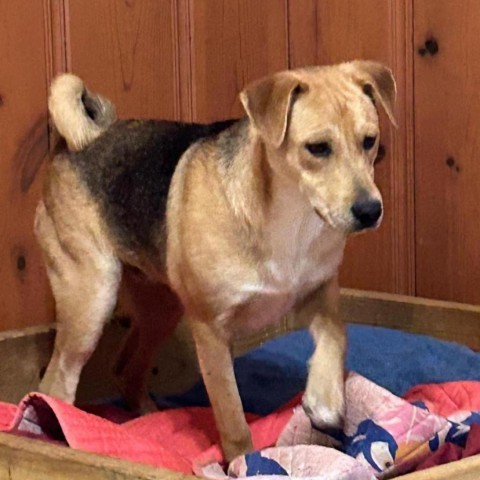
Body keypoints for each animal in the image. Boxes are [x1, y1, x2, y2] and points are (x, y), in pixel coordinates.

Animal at [34, 61, 398, 462]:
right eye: (317, 148)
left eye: (370, 141)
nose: (370, 211)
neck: (291, 218)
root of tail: (80, 143)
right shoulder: (211, 330)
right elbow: (232, 417)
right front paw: (243, 463)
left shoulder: (321, 294)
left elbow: (336, 338)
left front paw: (325, 399)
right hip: (92, 299)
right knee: (55, 384)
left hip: (161, 310)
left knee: (125, 370)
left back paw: (147, 426)